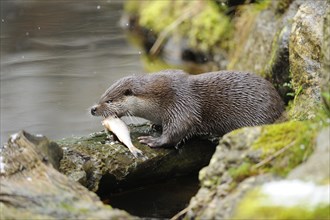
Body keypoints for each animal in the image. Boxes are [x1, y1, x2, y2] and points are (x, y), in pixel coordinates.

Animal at [90, 69, 284, 148]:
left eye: (109, 101)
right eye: (103, 95)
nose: (93, 108)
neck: (158, 97)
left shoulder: (180, 103)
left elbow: (180, 127)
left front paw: (154, 140)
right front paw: (155, 125)